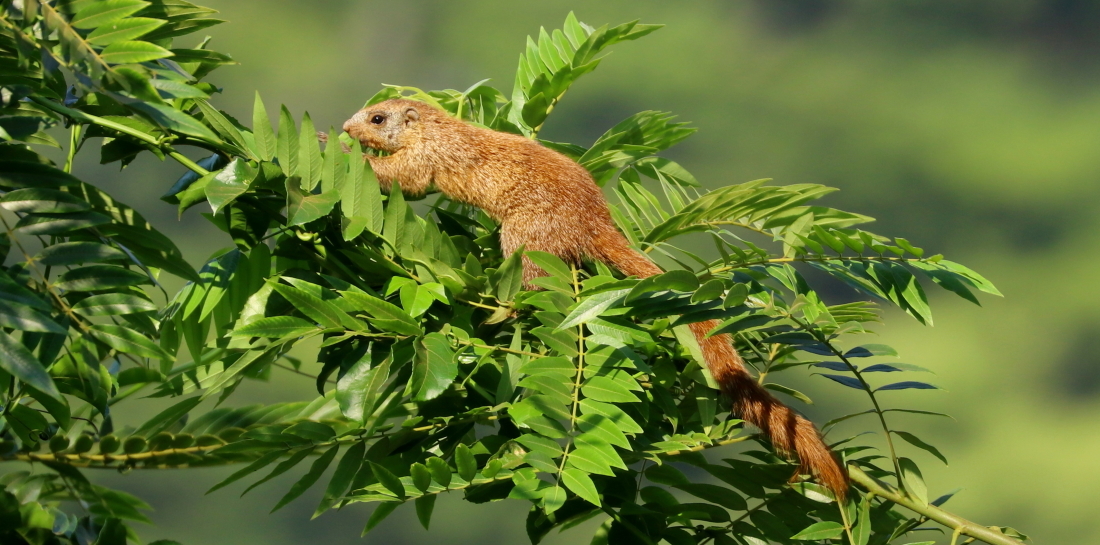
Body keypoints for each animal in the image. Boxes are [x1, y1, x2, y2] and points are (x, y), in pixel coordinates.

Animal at [343, 97, 849, 499]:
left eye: (377, 117)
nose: (349, 126)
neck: (437, 128)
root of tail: (596, 221)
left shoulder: (427, 156)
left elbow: (404, 179)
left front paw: (346, 149)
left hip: (524, 233)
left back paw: (506, 309)